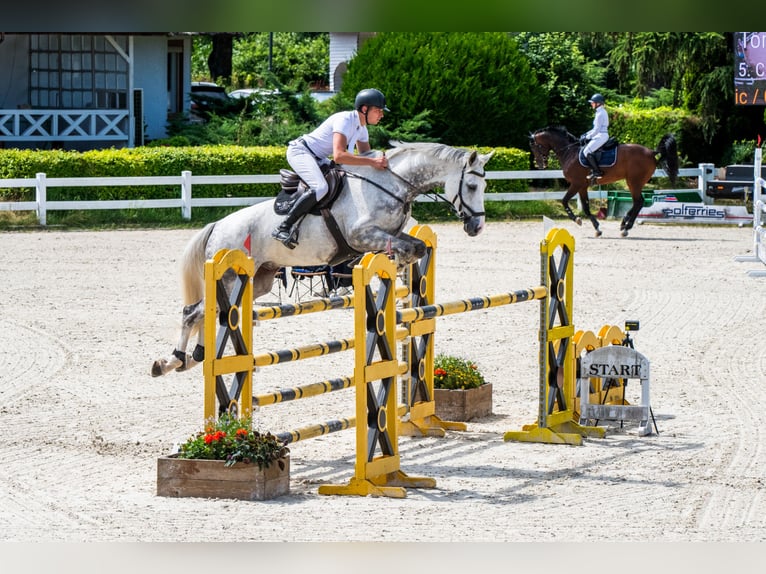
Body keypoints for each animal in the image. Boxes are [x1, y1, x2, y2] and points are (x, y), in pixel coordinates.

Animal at [153, 142, 496, 378]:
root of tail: (217, 226)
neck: (392, 185)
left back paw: (194, 356)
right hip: (228, 275)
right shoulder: (362, 235)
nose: (477, 227)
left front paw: (399, 270)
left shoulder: (392, 234)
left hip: (259, 279)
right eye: (472, 185)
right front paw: (395, 265)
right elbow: (401, 249)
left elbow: (418, 248)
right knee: (191, 312)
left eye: (484, 185)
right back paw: (171, 360)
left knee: (205, 313)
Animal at [532, 125, 680, 236]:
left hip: (634, 182)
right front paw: (597, 228)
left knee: (639, 202)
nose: (540, 165)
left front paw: (577, 220)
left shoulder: (576, 183)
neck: (569, 152)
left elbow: (564, 201)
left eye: (535, 147)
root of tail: (651, 152)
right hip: (635, 182)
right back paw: (624, 223)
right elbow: (586, 207)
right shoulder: (582, 186)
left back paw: (626, 228)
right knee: (638, 202)